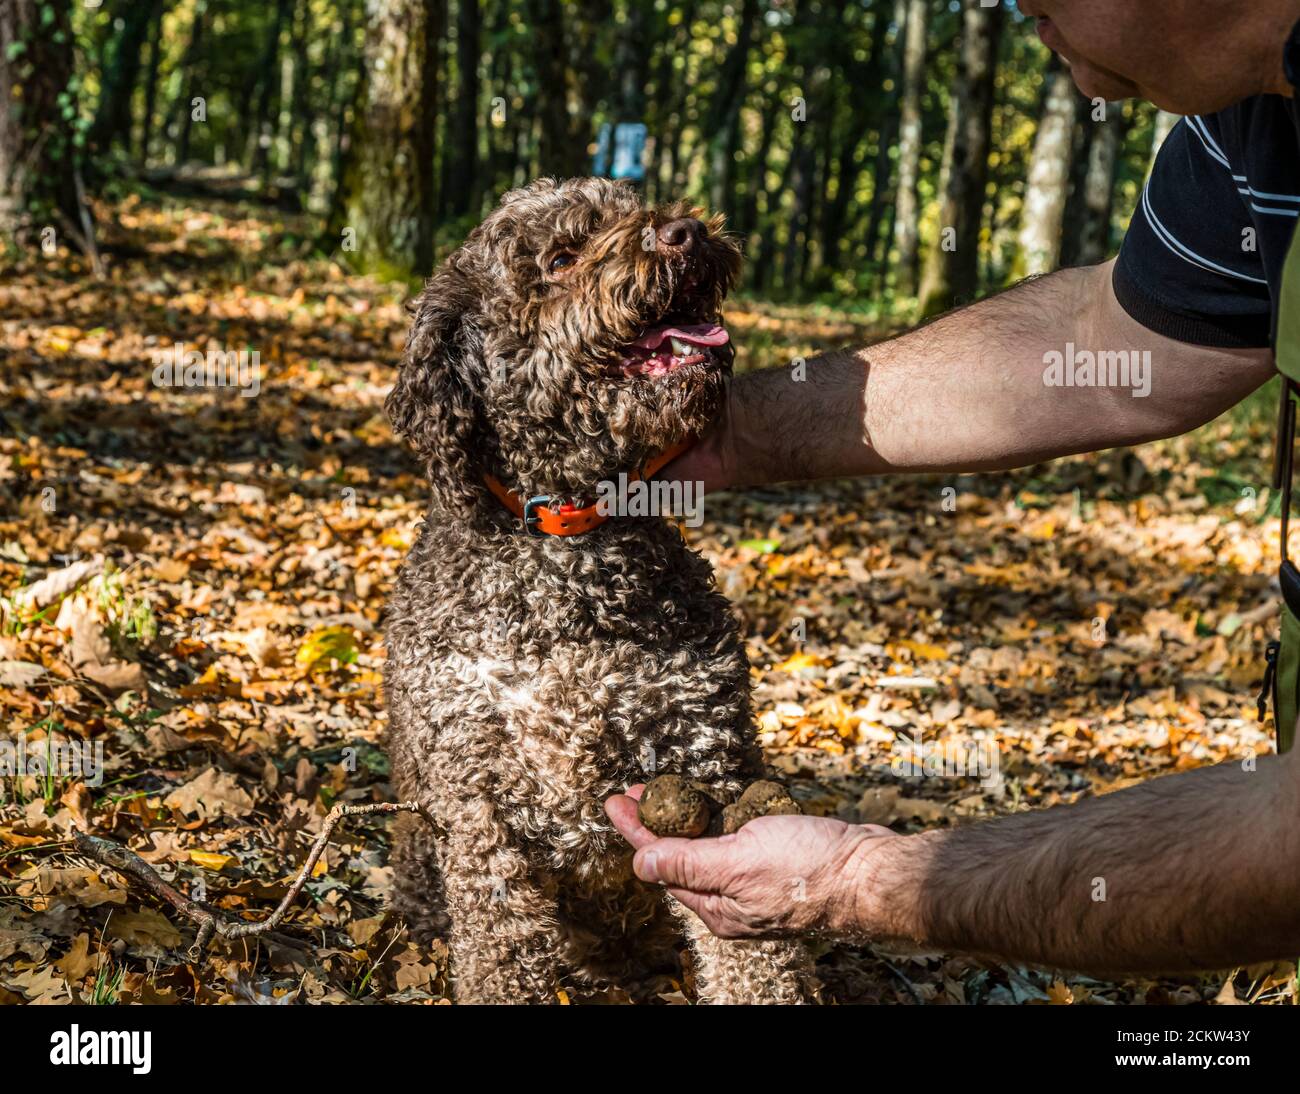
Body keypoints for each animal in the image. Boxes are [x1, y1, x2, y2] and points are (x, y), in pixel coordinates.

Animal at [379, 179, 816, 1008]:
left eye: (630, 204)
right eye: (559, 257)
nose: (686, 231)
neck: (571, 549)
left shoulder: (705, 756)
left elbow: (755, 960)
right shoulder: (479, 804)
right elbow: (500, 955)